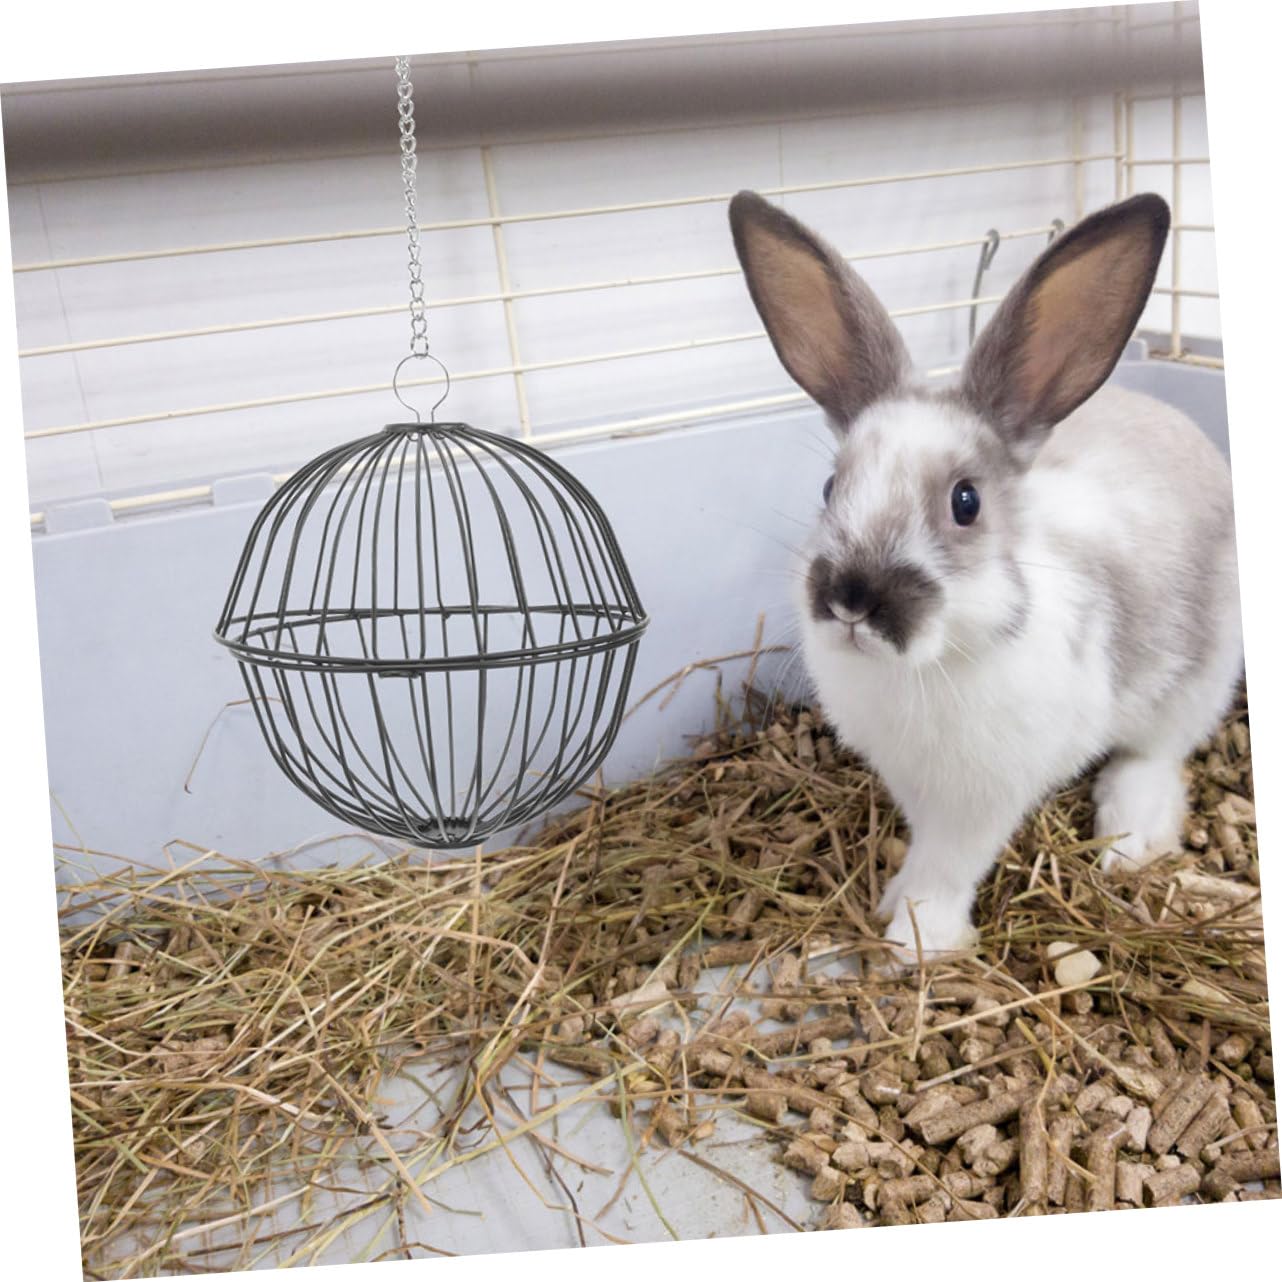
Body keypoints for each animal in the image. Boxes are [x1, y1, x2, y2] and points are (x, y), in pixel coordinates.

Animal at [727, 189, 1243, 962]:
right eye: (829, 487)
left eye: (965, 502)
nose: (851, 599)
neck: (931, 664)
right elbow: (925, 849)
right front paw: (896, 905)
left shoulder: (983, 801)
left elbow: (950, 865)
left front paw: (918, 937)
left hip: (1196, 679)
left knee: (1158, 754)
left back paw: (1125, 836)